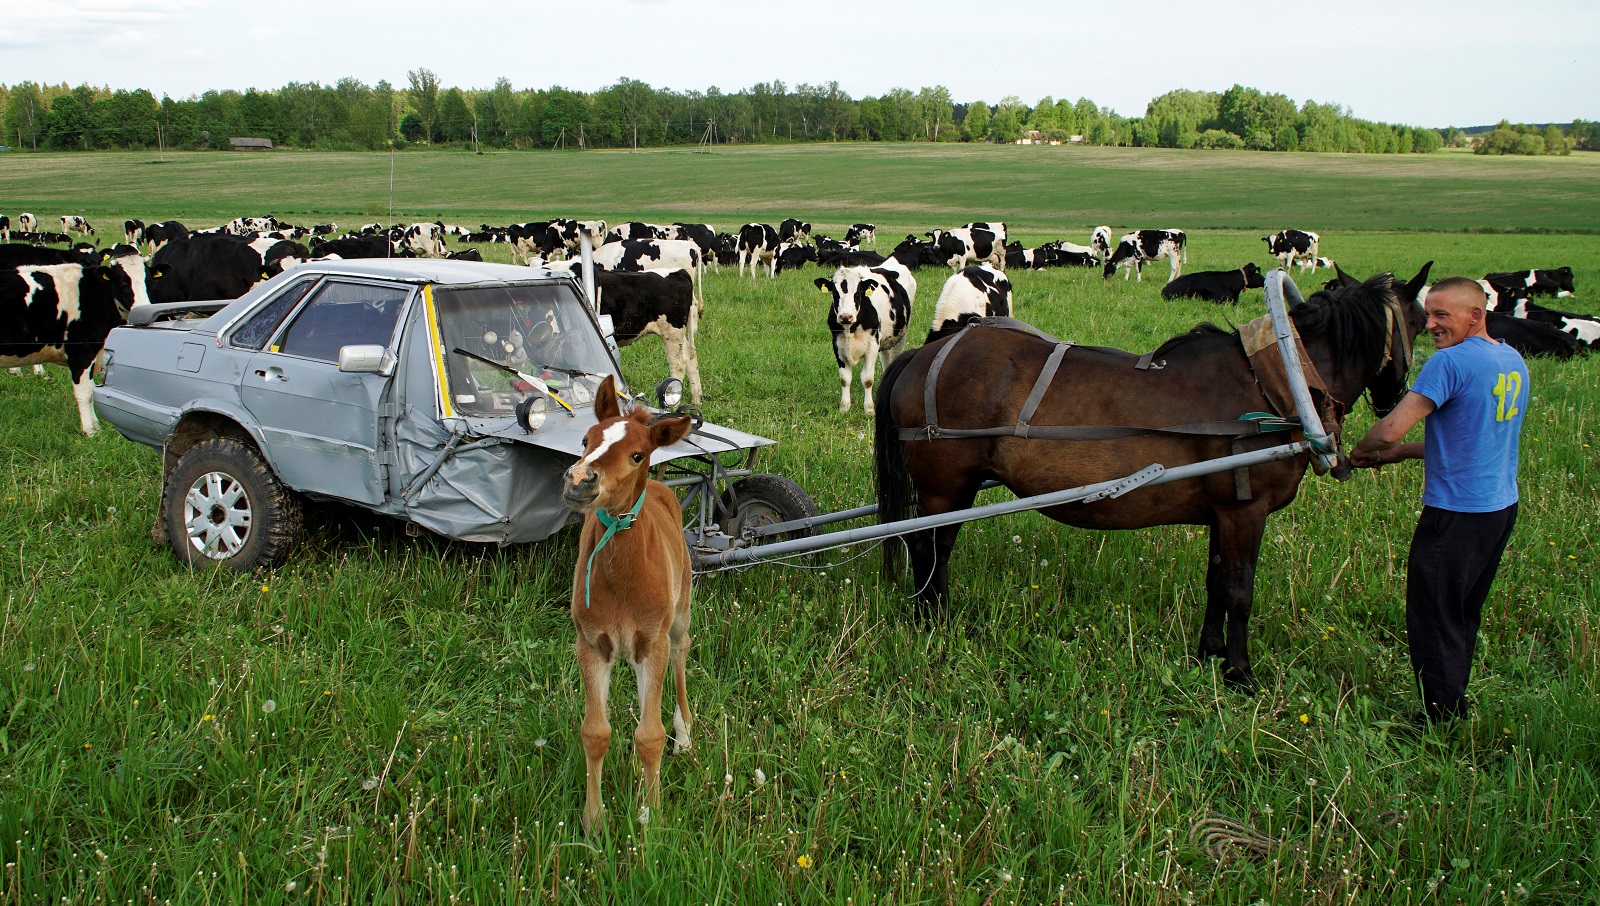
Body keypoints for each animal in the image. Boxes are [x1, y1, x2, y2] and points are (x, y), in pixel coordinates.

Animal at [1, 246, 146, 435]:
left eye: (148, 279)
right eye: (123, 282)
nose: (143, 308)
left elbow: (91, 391)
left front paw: (96, 426)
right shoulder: (81, 353)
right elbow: (85, 393)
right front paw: (90, 431)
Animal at [556, 377, 694, 838]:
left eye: (637, 455)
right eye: (585, 440)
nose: (580, 479)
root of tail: (662, 487)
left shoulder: (652, 643)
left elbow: (650, 737)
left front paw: (652, 818)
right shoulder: (591, 645)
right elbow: (595, 732)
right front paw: (594, 821)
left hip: (679, 616)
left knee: (682, 655)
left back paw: (685, 733)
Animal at [819, 259, 921, 416]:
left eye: (858, 293)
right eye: (835, 293)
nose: (845, 317)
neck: (851, 329)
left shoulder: (872, 346)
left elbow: (867, 379)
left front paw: (869, 408)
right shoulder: (837, 345)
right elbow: (845, 379)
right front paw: (845, 407)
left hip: (901, 333)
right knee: (885, 358)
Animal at [876, 270, 1440, 688]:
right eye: (1420, 320)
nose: (1397, 402)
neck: (1275, 383)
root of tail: (924, 354)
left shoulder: (1224, 513)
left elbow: (1217, 581)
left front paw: (1209, 654)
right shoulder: (1246, 510)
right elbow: (1239, 589)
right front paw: (1240, 673)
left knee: (937, 548)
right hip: (945, 486)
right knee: (926, 548)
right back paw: (931, 619)